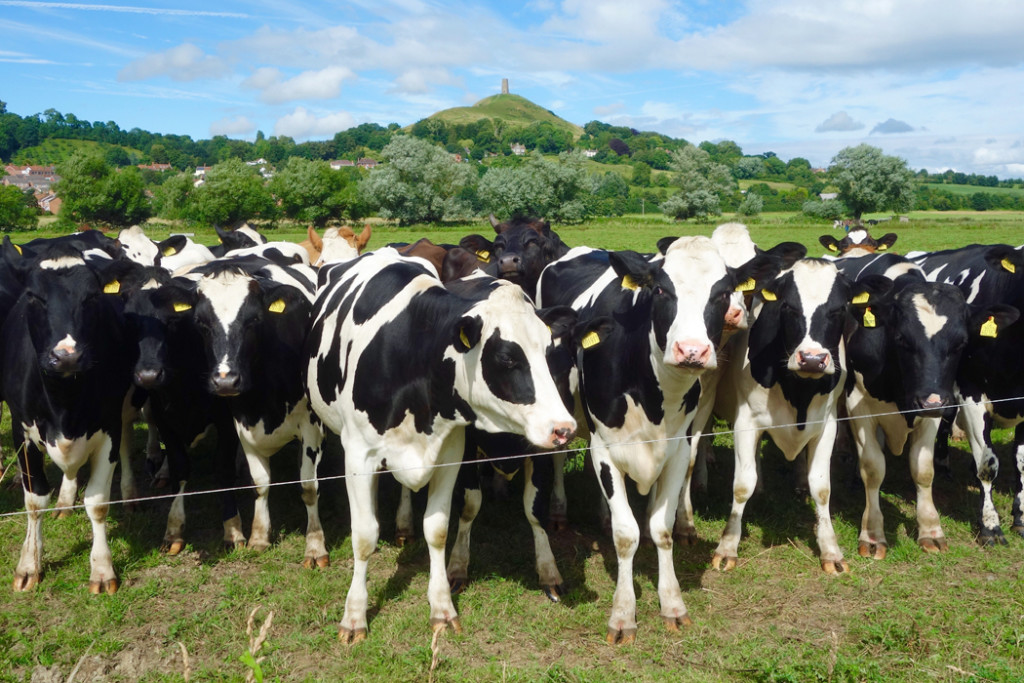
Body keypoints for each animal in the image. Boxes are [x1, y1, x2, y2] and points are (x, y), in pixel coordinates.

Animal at [2, 239, 138, 593]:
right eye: (34, 296)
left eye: (91, 297)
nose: (66, 356)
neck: (64, 401)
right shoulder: (21, 430)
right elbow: (34, 501)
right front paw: (29, 564)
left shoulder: (109, 426)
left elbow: (98, 502)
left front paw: (102, 569)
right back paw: (65, 499)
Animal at [306, 248, 577, 642]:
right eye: (507, 357)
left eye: (549, 352)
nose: (563, 428)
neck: (413, 358)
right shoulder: (358, 455)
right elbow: (364, 536)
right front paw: (354, 615)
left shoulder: (450, 454)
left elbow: (437, 529)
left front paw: (442, 607)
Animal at [537, 237, 782, 644]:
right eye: (662, 291)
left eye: (722, 293)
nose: (692, 351)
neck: (653, 393)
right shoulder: (604, 448)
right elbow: (625, 534)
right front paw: (623, 614)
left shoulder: (678, 448)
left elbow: (661, 528)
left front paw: (672, 603)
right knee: (558, 459)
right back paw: (560, 510)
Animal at [708, 258, 886, 576]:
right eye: (788, 307)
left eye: (838, 309)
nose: (812, 359)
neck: (799, 390)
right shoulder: (746, 422)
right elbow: (742, 484)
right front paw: (727, 546)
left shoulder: (826, 425)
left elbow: (822, 488)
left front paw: (831, 550)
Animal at [832, 251, 1014, 557]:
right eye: (902, 339)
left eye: (961, 343)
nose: (930, 401)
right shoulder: (859, 403)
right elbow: (873, 468)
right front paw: (872, 534)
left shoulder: (932, 411)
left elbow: (923, 470)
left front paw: (931, 530)